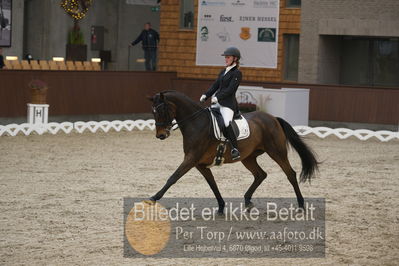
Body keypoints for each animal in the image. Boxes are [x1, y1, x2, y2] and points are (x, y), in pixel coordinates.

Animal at [147, 90, 318, 213]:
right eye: (153, 112)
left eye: (162, 110)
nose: (160, 135)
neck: (195, 123)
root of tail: (273, 118)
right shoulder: (199, 164)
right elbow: (212, 184)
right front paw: (221, 206)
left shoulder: (191, 159)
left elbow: (173, 177)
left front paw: (153, 198)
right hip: (248, 158)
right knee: (260, 175)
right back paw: (248, 201)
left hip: (277, 152)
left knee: (290, 174)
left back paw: (301, 205)